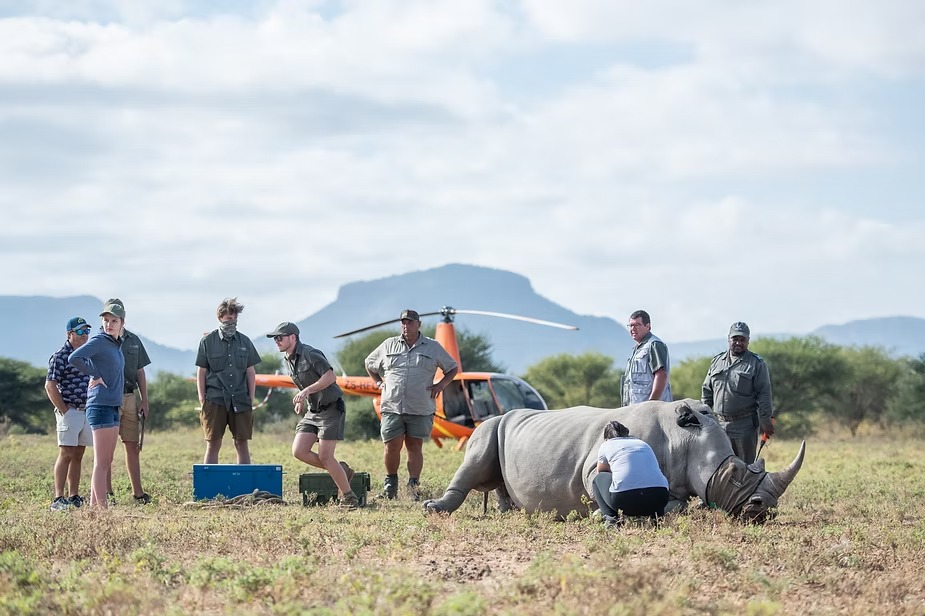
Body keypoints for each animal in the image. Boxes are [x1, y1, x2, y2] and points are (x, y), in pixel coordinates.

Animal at [423, 399, 805, 522]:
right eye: (736, 473)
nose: (763, 510)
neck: (685, 438)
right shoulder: (595, 461)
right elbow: (595, 478)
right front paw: (596, 514)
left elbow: (676, 504)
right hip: (489, 425)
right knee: (475, 456)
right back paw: (433, 509)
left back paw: (510, 512)